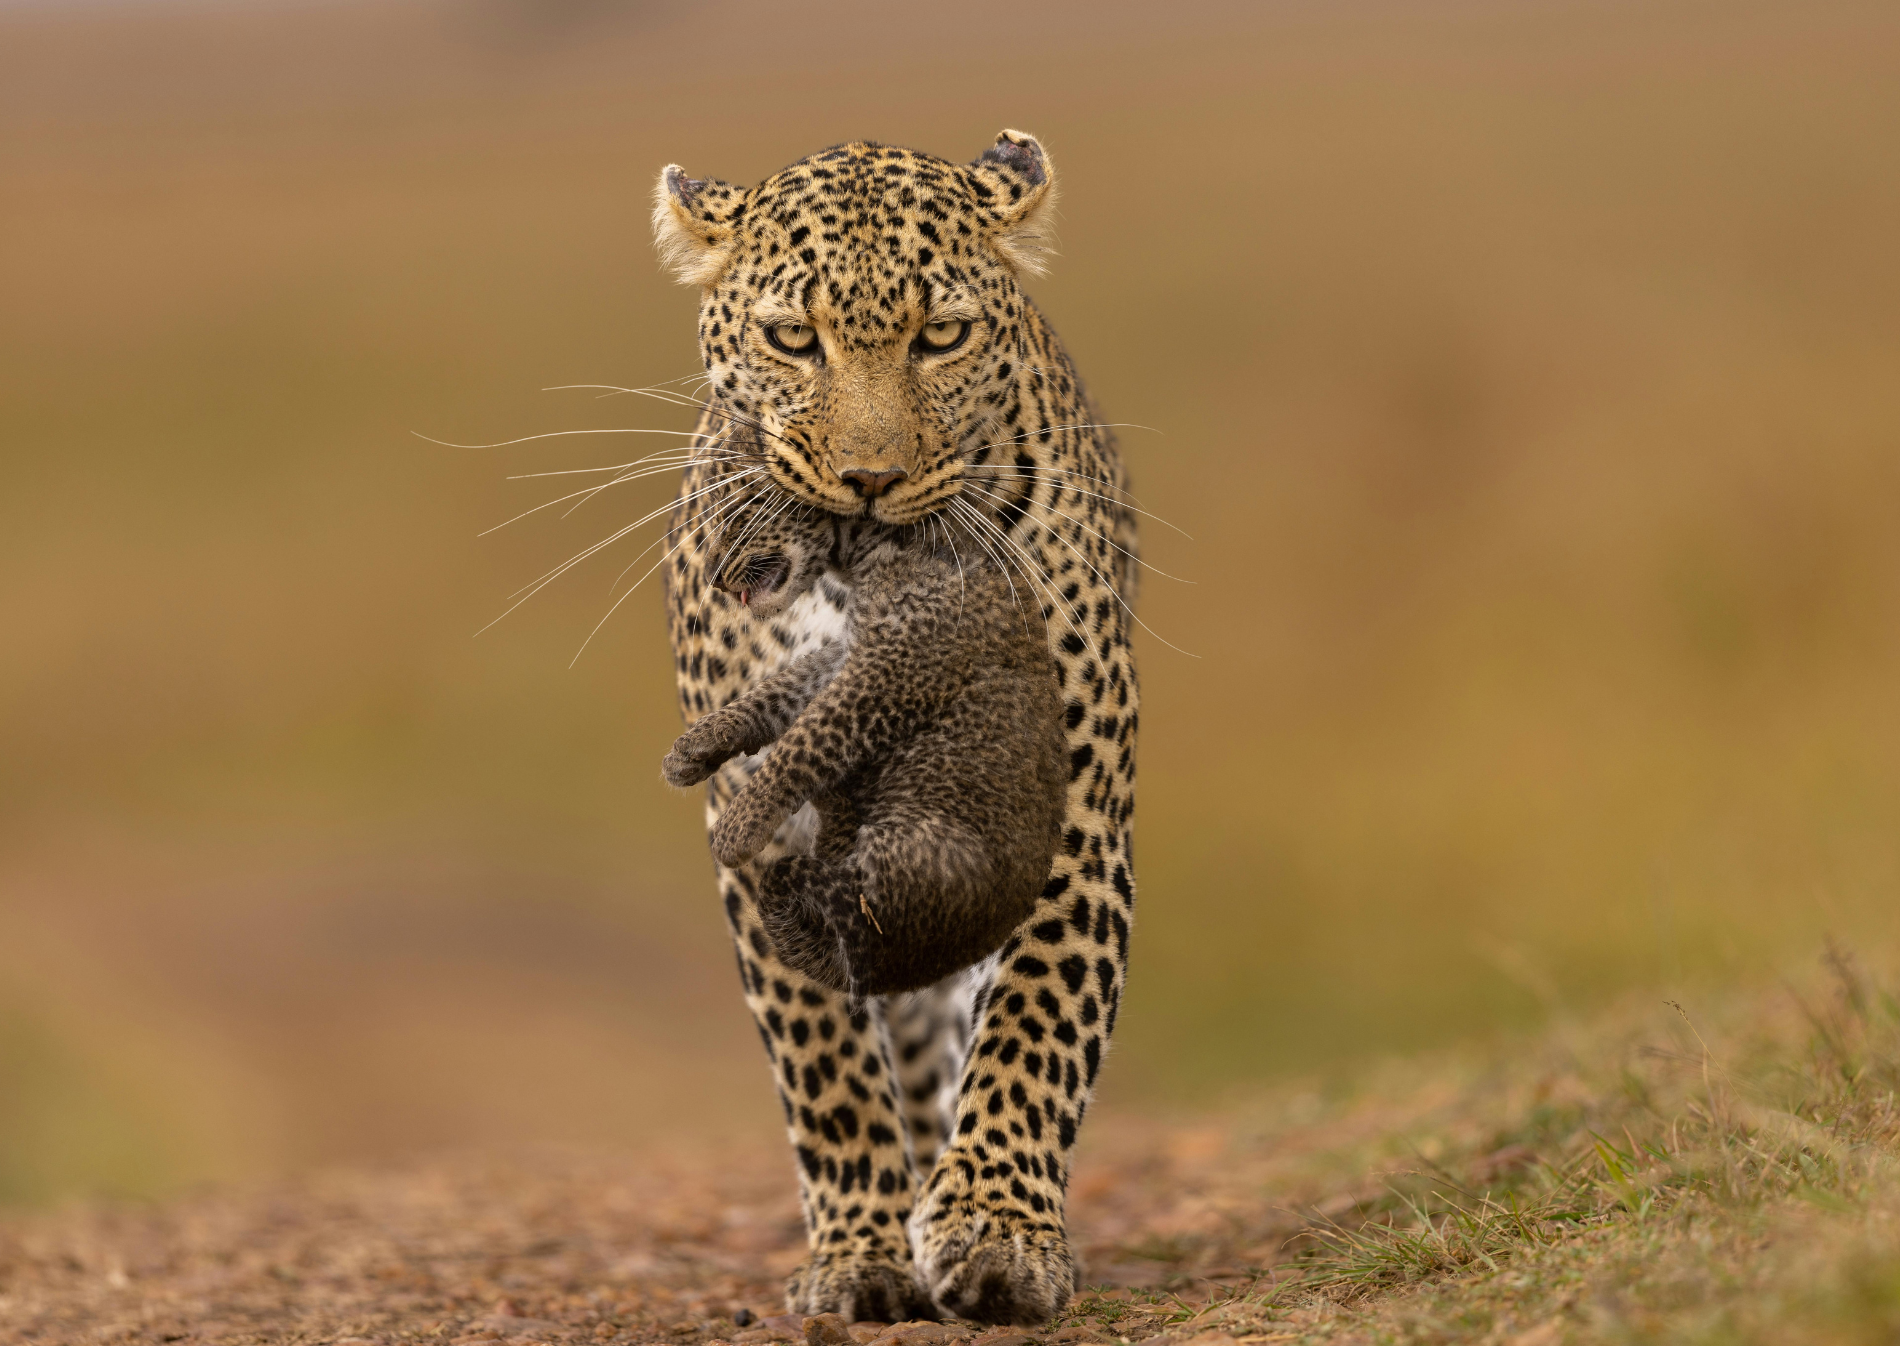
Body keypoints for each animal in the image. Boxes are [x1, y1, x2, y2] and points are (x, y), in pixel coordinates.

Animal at [659, 482, 1068, 1001]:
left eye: (741, 513)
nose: (711, 576)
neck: (869, 552)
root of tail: (909, 972)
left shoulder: (890, 669)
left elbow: (808, 738)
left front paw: (737, 829)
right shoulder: (852, 652)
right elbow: (779, 692)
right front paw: (696, 747)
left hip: (922, 846)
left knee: (847, 895)